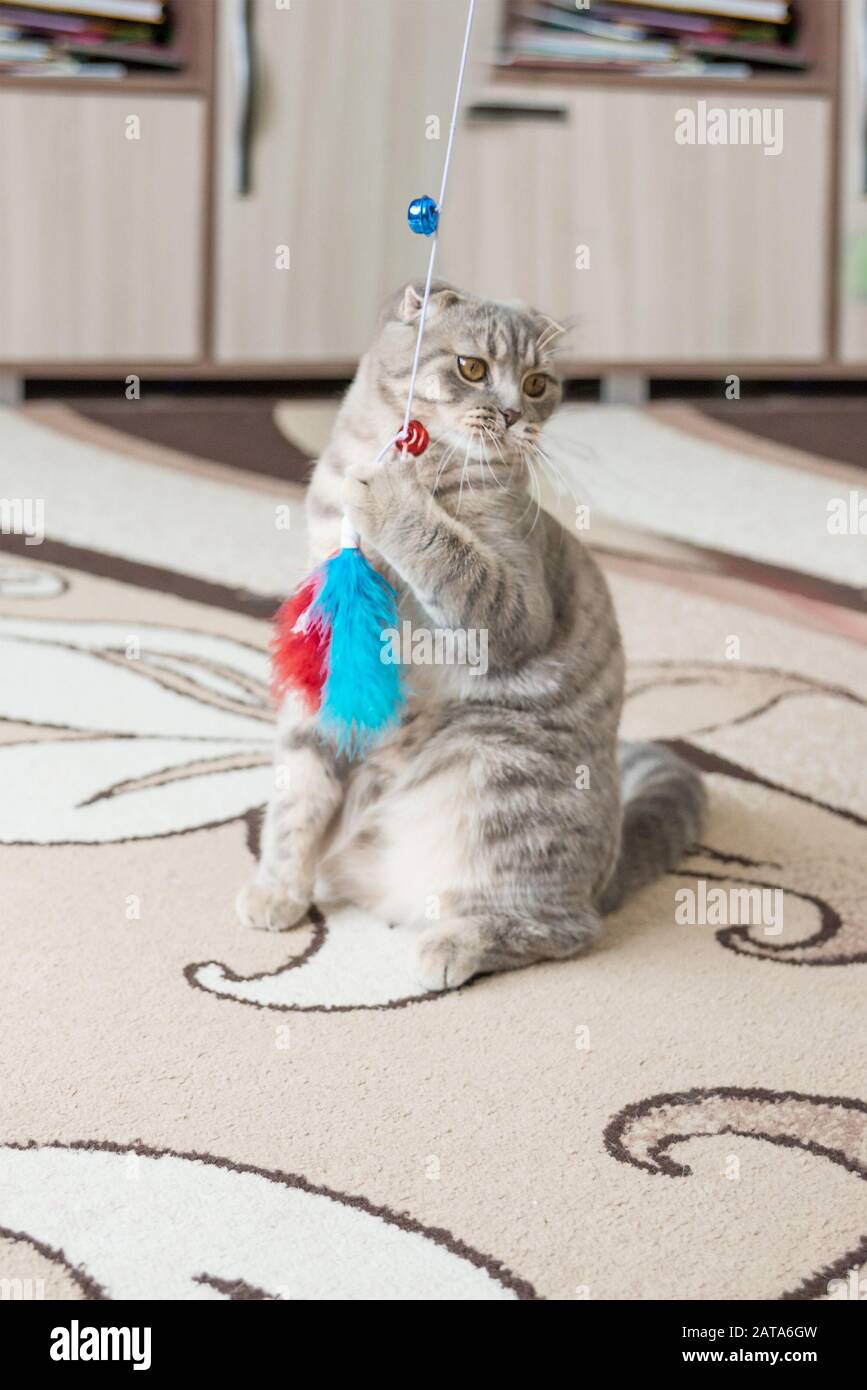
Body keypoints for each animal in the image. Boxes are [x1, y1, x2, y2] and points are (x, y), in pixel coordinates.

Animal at [237, 279, 705, 989]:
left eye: (538, 383)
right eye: (472, 368)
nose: (512, 413)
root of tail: (605, 880)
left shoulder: (514, 605)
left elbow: (447, 554)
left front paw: (392, 498)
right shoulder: (326, 669)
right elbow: (299, 796)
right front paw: (278, 890)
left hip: (493, 766)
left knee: (563, 928)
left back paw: (452, 944)